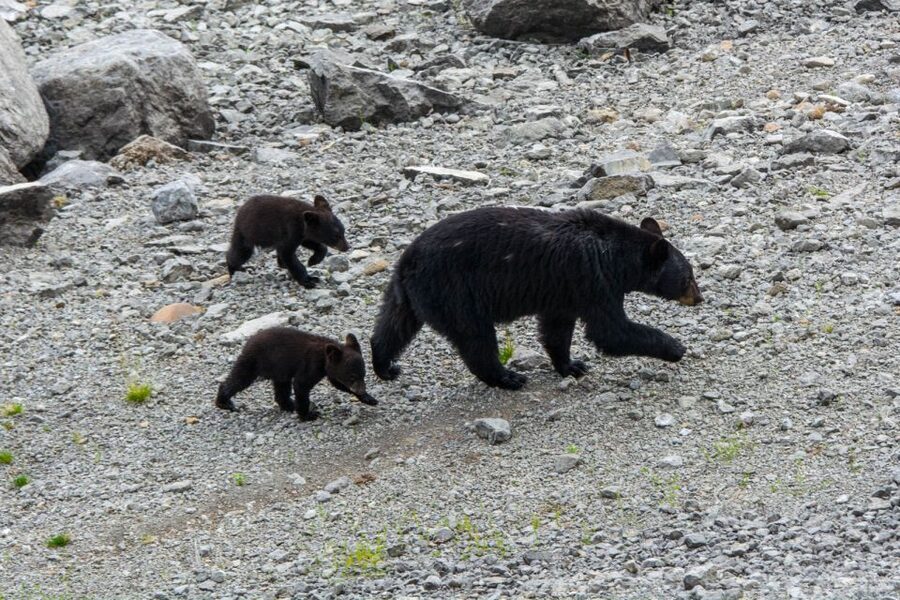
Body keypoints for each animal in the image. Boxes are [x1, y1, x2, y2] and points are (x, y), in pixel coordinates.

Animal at [215, 327, 377, 421]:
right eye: (352, 376)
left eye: (363, 374)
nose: (361, 389)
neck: (324, 357)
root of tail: (249, 340)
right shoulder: (311, 364)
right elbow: (302, 384)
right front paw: (308, 415)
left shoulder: (330, 370)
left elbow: (338, 384)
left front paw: (369, 398)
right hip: (255, 360)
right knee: (240, 378)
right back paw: (224, 401)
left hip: (279, 369)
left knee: (281, 387)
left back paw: (289, 404)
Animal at [370, 207, 703, 390]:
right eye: (688, 277)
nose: (699, 298)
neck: (616, 257)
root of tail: (408, 260)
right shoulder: (592, 278)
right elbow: (610, 331)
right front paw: (675, 347)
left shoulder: (563, 291)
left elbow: (557, 330)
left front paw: (571, 365)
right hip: (455, 292)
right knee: (476, 338)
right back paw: (507, 378)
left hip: (408, 294)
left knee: (392, 326)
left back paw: (385, 366)